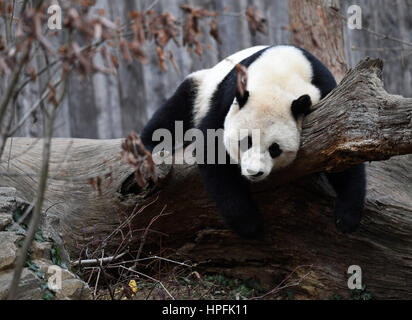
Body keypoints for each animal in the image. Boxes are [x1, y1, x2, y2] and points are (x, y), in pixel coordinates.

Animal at [142, 46, 366, 239]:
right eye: (245, 142)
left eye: (274, 149)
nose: (254, 172)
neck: (278, 74)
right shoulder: (227, 98)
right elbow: (213, 150)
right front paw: (250, 224)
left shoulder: (326, 91)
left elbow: (341, 142)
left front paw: (346, 218)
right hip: (201, 87)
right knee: (175, 110)